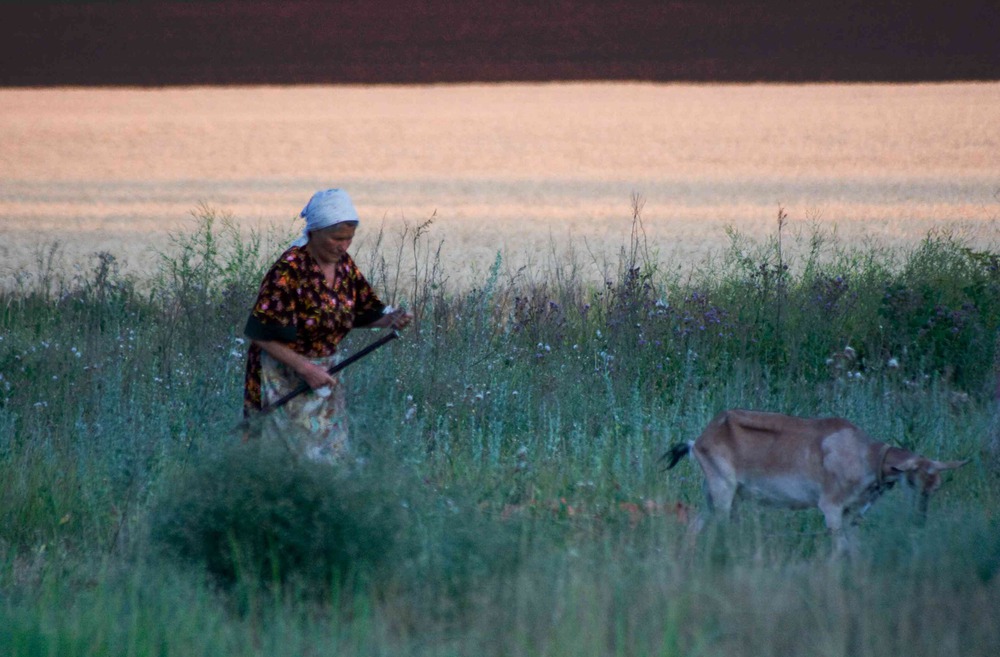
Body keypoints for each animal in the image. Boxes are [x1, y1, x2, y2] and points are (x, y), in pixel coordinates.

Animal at [664, 410, 968, 552]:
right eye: (914, 480)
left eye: (936, 485)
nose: (920, 519)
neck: (864, 454)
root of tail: (698, 441)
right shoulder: (831, 506)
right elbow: (840, 547)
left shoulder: (852, 513)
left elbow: (853, 548)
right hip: (723, 491)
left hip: (717, 495)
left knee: (696, 525)